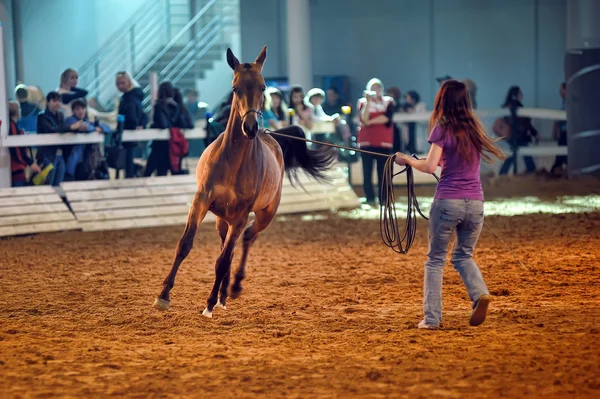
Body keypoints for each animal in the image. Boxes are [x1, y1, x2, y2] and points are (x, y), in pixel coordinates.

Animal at [152, 45, 336, 318]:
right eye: (234, 88)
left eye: (263, 87)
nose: (250, 127)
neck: (232, 162)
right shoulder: (201, 201)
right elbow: (185, 245)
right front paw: (163, 296)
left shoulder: (241, 214)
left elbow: (223, 259)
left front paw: (209, 303)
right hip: (223, 219)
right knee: (228, 244)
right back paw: (224, 292)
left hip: (263, 214)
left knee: (247, 238)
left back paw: (232, 287)